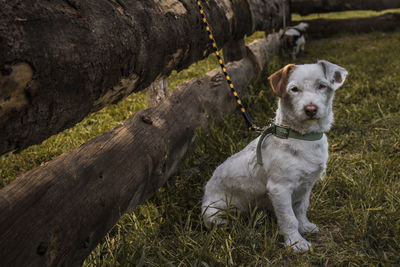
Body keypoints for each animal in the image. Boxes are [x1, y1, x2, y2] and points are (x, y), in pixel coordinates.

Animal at [202, 59, 348, 252]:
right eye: (294, 89)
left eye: (322, 86)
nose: (310, 109)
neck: (301, 137)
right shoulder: (280, 189)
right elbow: (289, 219)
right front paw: (296, 242)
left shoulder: (306, 185)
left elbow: (300, 209)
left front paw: (305, 226)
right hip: (215, 211)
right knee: (221, 223)